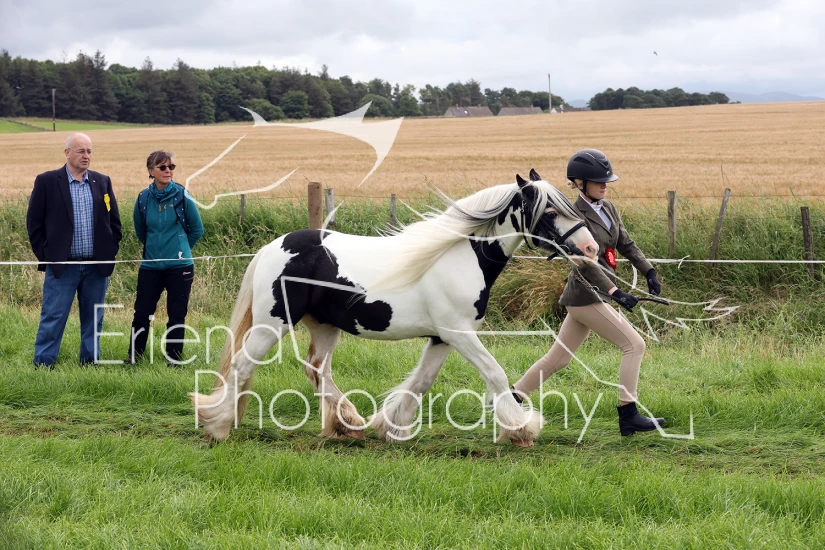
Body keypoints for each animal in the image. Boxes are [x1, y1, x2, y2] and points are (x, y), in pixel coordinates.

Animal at [189, 169, 598, 447]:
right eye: (549, 212)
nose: (591, 248)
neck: (459, 256)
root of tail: (271, 248)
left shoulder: (443, 337)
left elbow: (421, 382)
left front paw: (392, 427)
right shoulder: (459, 333)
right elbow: (496, 375)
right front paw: (521, 429)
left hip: (324, 326)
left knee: (317, 370)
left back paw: (346, 423)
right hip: (271, 324)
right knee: (243, 366)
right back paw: (217, 425)